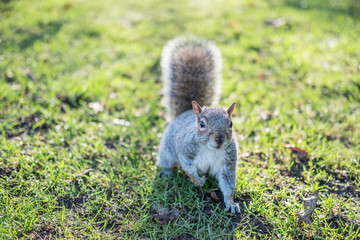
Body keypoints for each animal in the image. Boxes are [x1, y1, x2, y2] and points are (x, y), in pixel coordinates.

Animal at [157, 36, 239, 214]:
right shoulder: (185, 150)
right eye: (202, 124)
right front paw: (198, 181)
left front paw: (231, 203)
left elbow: (228, 184)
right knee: (167, 163)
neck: (211, 150)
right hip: (166, 152)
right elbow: (188, 168)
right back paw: (166, 174)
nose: (219, 140)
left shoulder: (228, 164)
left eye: (230, 123)